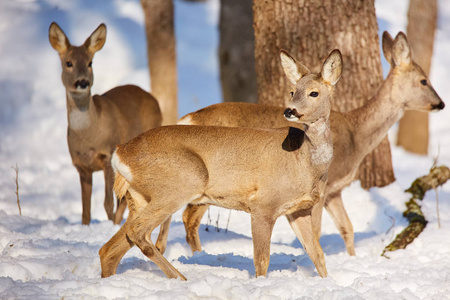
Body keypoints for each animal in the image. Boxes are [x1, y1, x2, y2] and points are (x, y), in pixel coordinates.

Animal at [48, 22, 162, 225]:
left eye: (90, 63)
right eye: (68, 63)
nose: (82, 82)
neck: (88, 137)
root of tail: (155, 101)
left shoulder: (108, 155)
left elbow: (108, 203)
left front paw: (110, 224)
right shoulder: (81, 166)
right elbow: (86, 209)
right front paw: (87, 227)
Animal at [156, 31, 444, 258]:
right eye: (424, 80)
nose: (440, 103)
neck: (357, 135)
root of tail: (186, 118)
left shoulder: (335, 190)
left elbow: (347, 228)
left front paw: (351, 259)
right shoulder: (324, 186)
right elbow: (318, 230)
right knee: (187, 217)